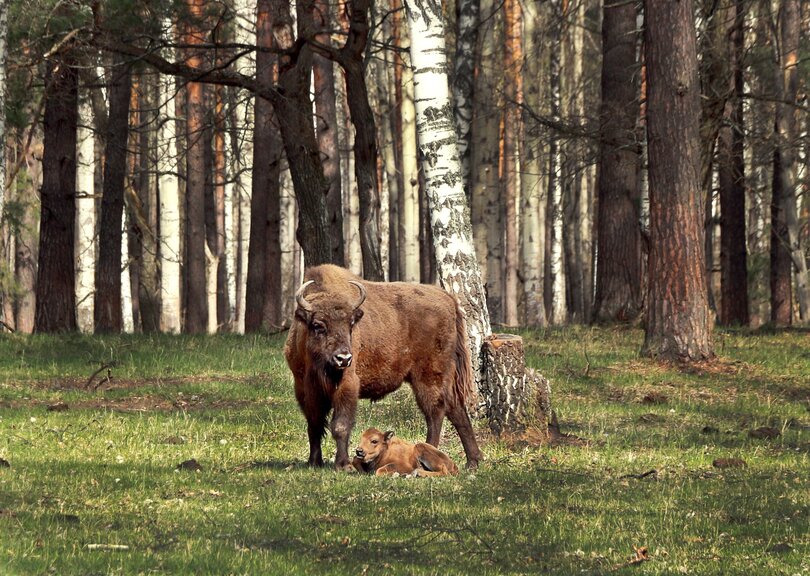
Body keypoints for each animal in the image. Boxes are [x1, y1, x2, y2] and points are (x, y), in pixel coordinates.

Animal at [284, 264, 480, 470]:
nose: (343, 358)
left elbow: (340, 425)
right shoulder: (305, 389)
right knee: (455, 409)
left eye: (351, 324)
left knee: (435, 412)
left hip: (428, 377)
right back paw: (473, 461)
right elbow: (314, 424)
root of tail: (448, 299)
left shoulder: (347, 385)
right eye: (318, 325)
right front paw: (314, 462)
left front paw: (343, 465)